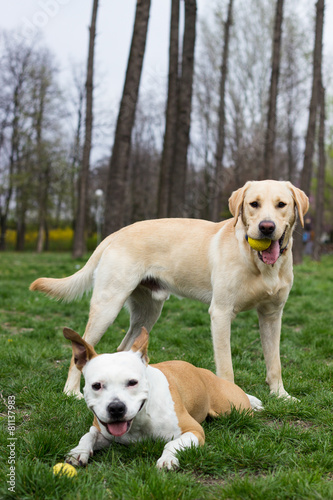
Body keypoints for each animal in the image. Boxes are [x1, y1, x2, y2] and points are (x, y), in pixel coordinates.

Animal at [29, 180, 308, 398]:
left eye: (281, 204)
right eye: (254, 204)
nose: (266, 227)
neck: (260, 265)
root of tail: (116, 233)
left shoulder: (272, 315)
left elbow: (274, 362)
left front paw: (280, 395)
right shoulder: (221, 313)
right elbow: (226, 366)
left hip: (148, 312)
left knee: (123, 348)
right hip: (107, 306)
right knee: (80, 351)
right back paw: (71, 391)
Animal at [63, 326, 260, 470]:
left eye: (133, 382)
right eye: (96, 386)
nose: (116, 408)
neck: (140, 418)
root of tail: (204, 371)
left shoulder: (194, 430)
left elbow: (172, 444)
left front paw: (168, 459)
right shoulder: (102, 430)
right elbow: (88, 435)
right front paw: (78, 451)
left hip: (233, 408)